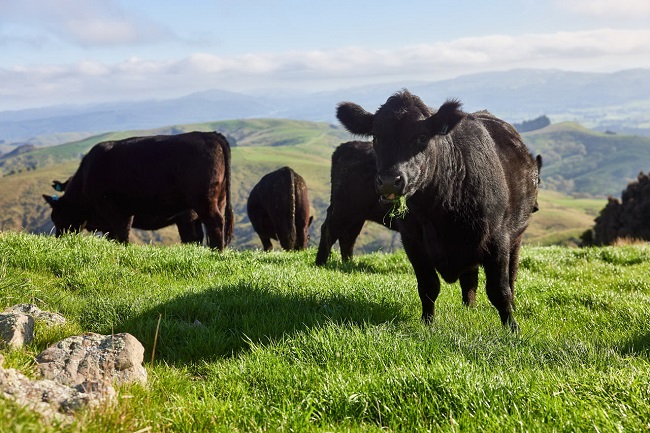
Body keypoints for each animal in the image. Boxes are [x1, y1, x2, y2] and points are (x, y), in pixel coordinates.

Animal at [336, 89, 540, 330]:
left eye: (422, 137)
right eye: (376, 137)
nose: (388, 181)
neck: (439, 212)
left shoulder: (497, 238)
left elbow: (499, 290)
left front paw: (512, 328)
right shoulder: (413, 242)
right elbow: (428, 286)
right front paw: (427, 323)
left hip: (515, 238)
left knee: (511, 276)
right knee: (469, 279)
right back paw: (469, 308)